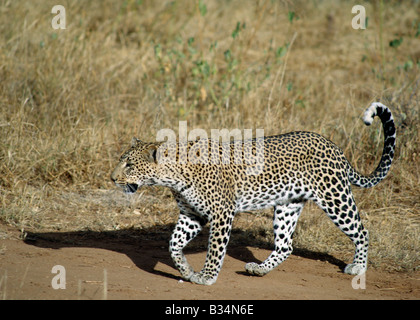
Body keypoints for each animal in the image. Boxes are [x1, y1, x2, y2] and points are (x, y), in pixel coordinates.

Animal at [110, 102, 394, 284]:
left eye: (129, 165)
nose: (112, 178)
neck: (173, 176)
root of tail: (334, 146)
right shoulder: (191, 214)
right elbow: (173, 244)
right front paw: (186, 270)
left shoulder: (221, 213)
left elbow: (215, 249)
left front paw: (206, 277)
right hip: (288, 204)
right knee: (285, 245)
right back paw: (259, 270)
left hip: (334, 198)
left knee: (362, 231)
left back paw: (358, 267)